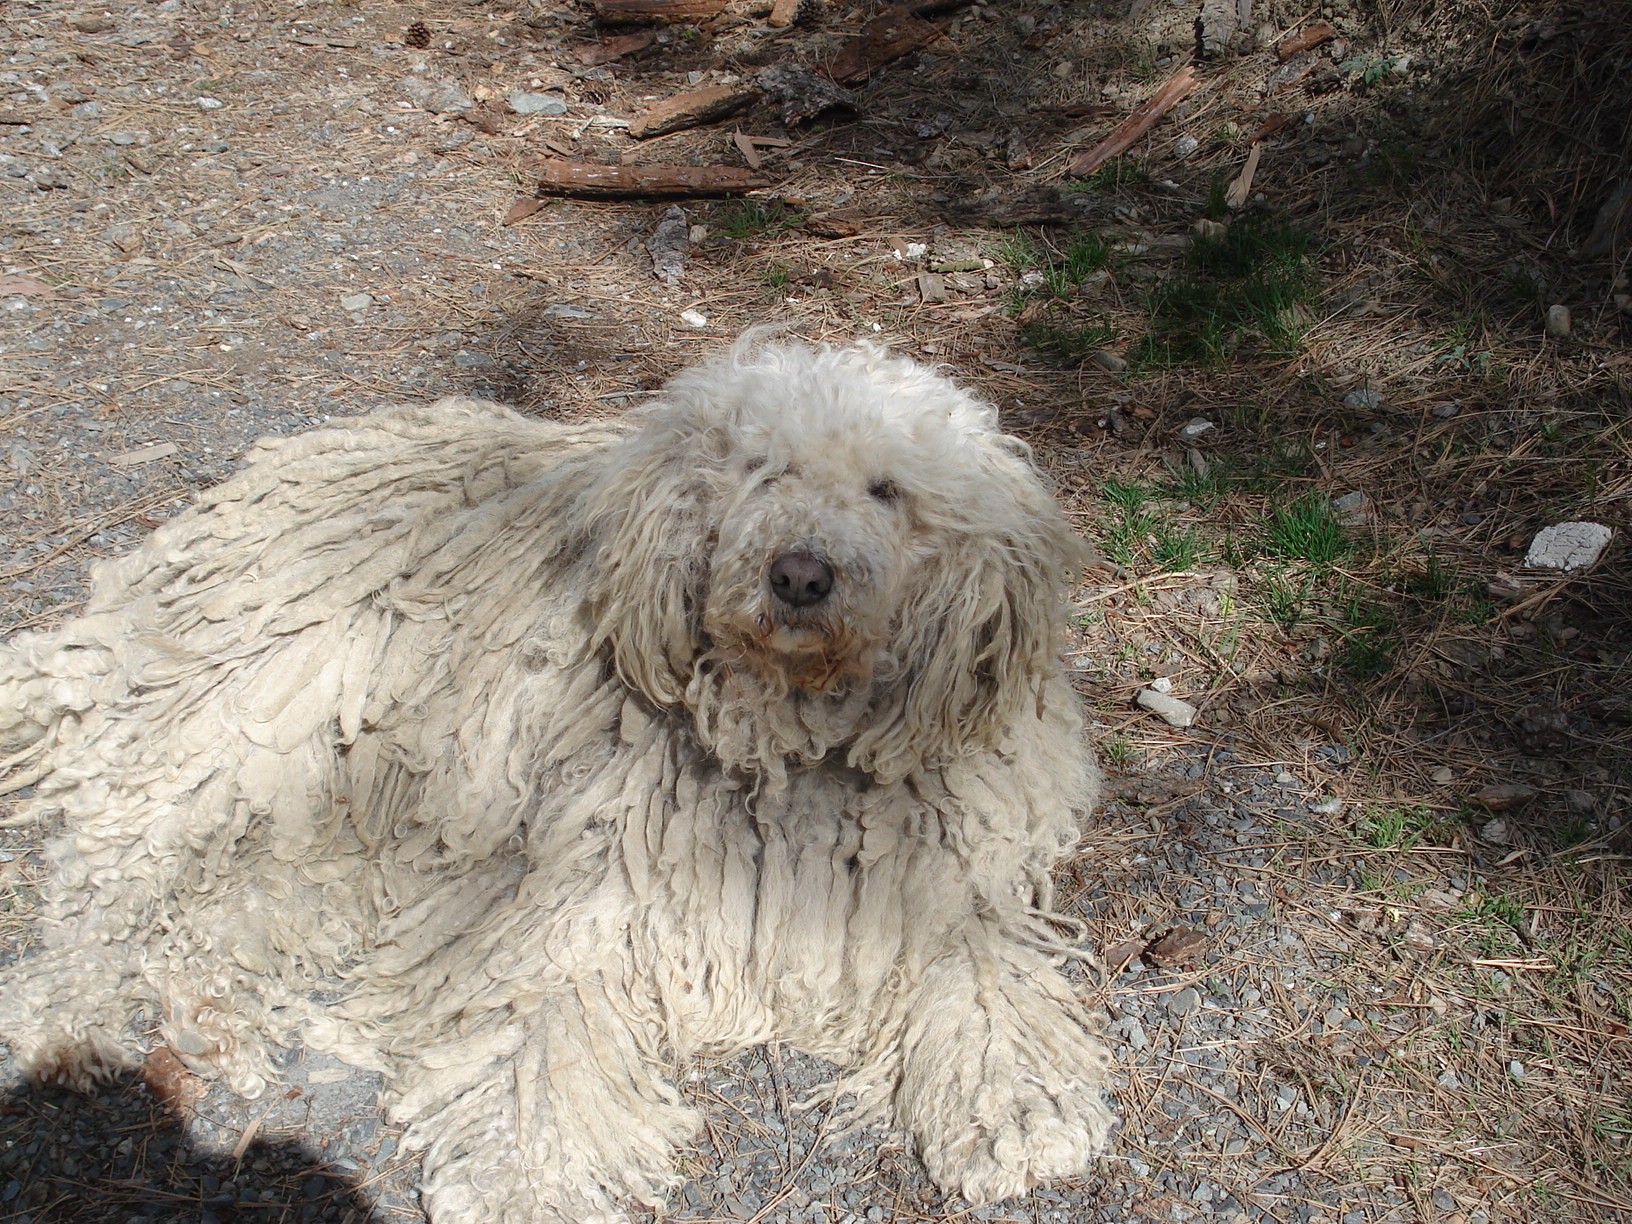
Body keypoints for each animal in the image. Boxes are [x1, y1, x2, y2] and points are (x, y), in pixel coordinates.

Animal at [0, 337, 1109, 1224]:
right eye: (762, 470)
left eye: (888, 491)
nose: (800, 574)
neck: (787, 736)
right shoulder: (585, 886)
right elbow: (544, 1030)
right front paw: (526, 1173)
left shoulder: (939, 884)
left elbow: (987, 985)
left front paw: (1016, 1109)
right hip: (241, 717)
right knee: (103, 870)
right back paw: (68, 1025)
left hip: (329, 801)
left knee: (233, 899)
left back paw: (213, 1020)